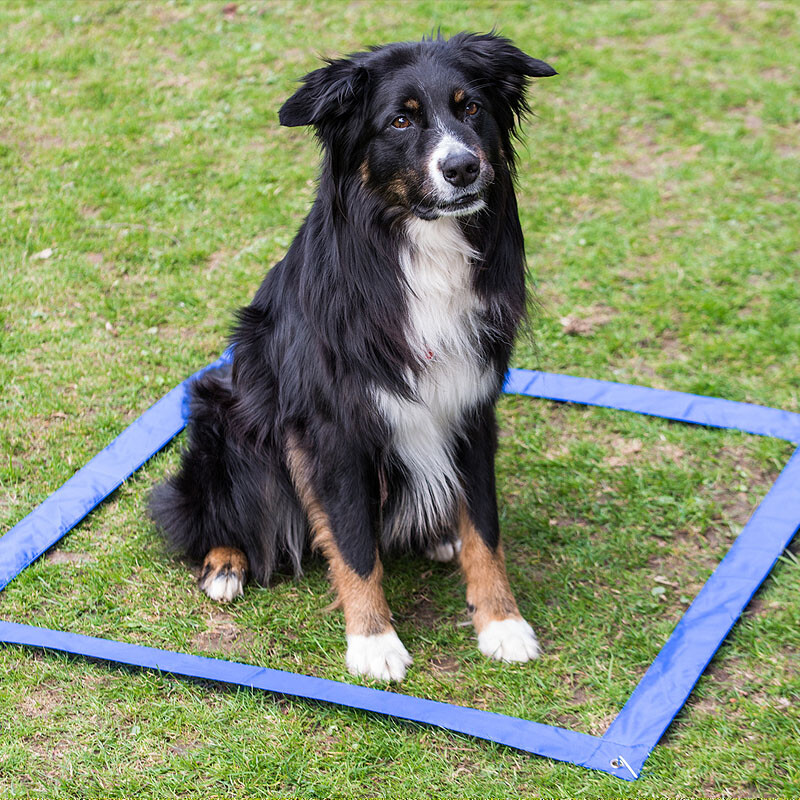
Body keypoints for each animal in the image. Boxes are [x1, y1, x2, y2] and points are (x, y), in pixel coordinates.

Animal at [148, 31, 556, 680]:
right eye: (399, 120)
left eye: (470, 108)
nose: (463, 167)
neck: (419, 248)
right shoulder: (333, 429)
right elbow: (354, 542)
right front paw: (373, 643)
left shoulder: (470, 408)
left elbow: (485, 529)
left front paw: (502, 624)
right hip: (225, 416)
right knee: (203, 513)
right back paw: (225, 564)